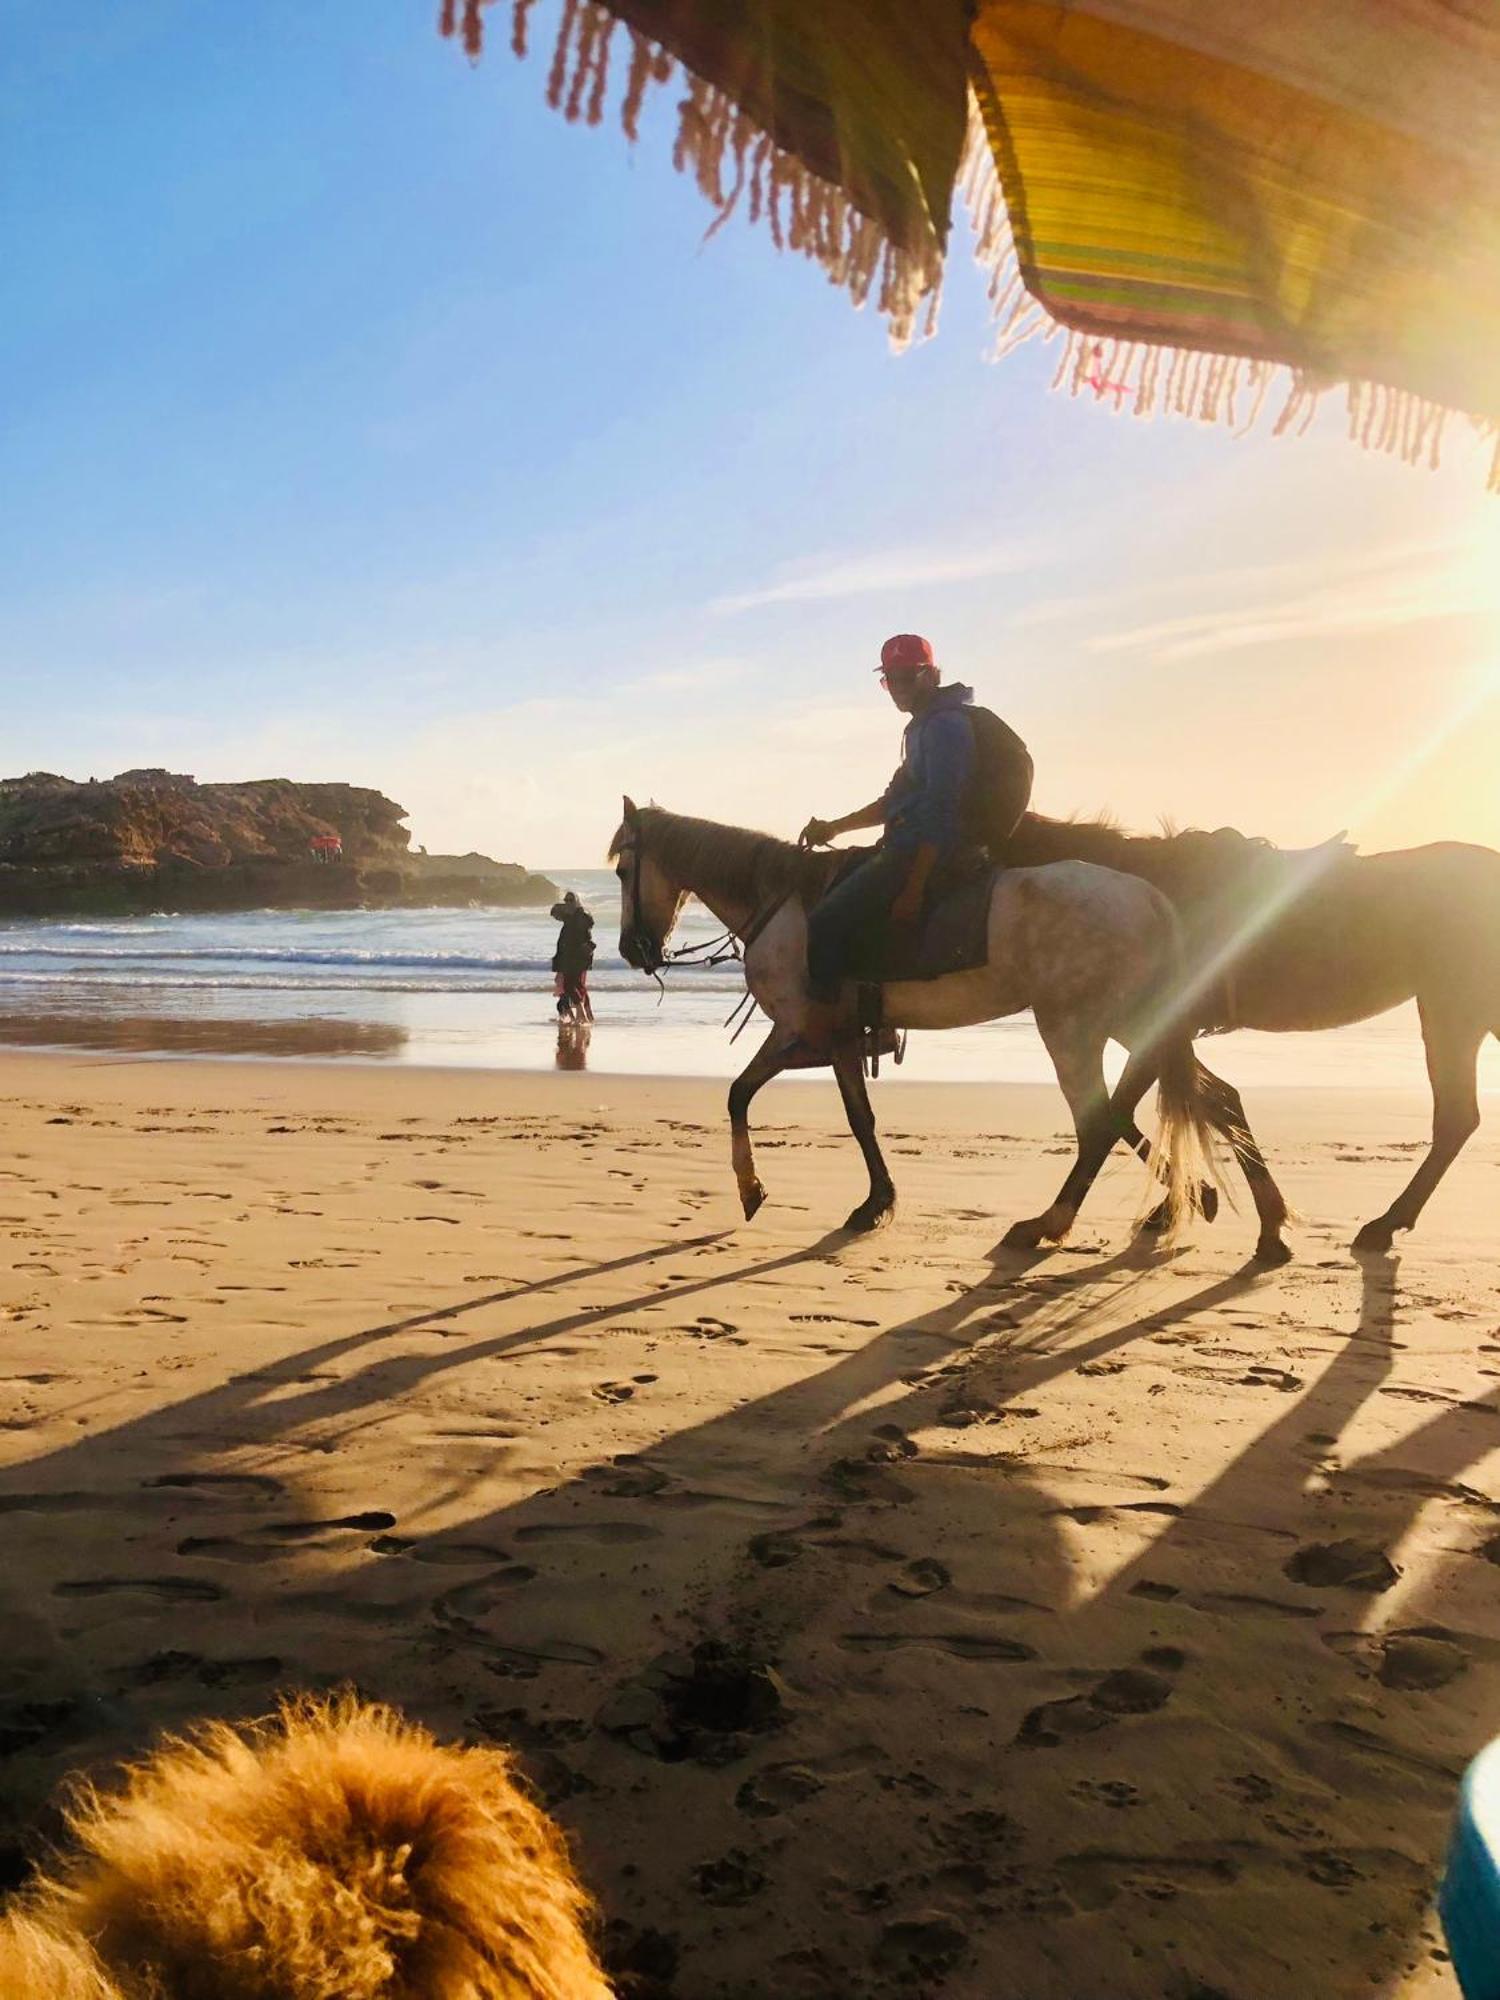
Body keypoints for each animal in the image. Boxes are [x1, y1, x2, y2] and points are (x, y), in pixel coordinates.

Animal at [612, 796, 1248, 1248]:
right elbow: (809, 1107)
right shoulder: (814, 1037)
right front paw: (869, 1201)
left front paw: (771, 1191)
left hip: (1072, 1026)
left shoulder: (815, 1035)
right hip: (1121, 1017)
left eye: (620, 871)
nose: (631, 949)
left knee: (1103, 1120)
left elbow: (774, 1099)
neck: (782, 901)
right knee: (1171, 1095)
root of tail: (1148, 895)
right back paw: (1188, 1198)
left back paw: (1050, 1222)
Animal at [1004, 808, 1500, 1248]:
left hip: (1454, 1006)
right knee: (1458, 1118)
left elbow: (1115, 1117)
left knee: (1455, 1118)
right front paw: (1218, 1207)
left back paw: (1384, 1225)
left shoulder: (1155, 1026)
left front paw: (1049, 1222)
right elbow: (1213, 1103)